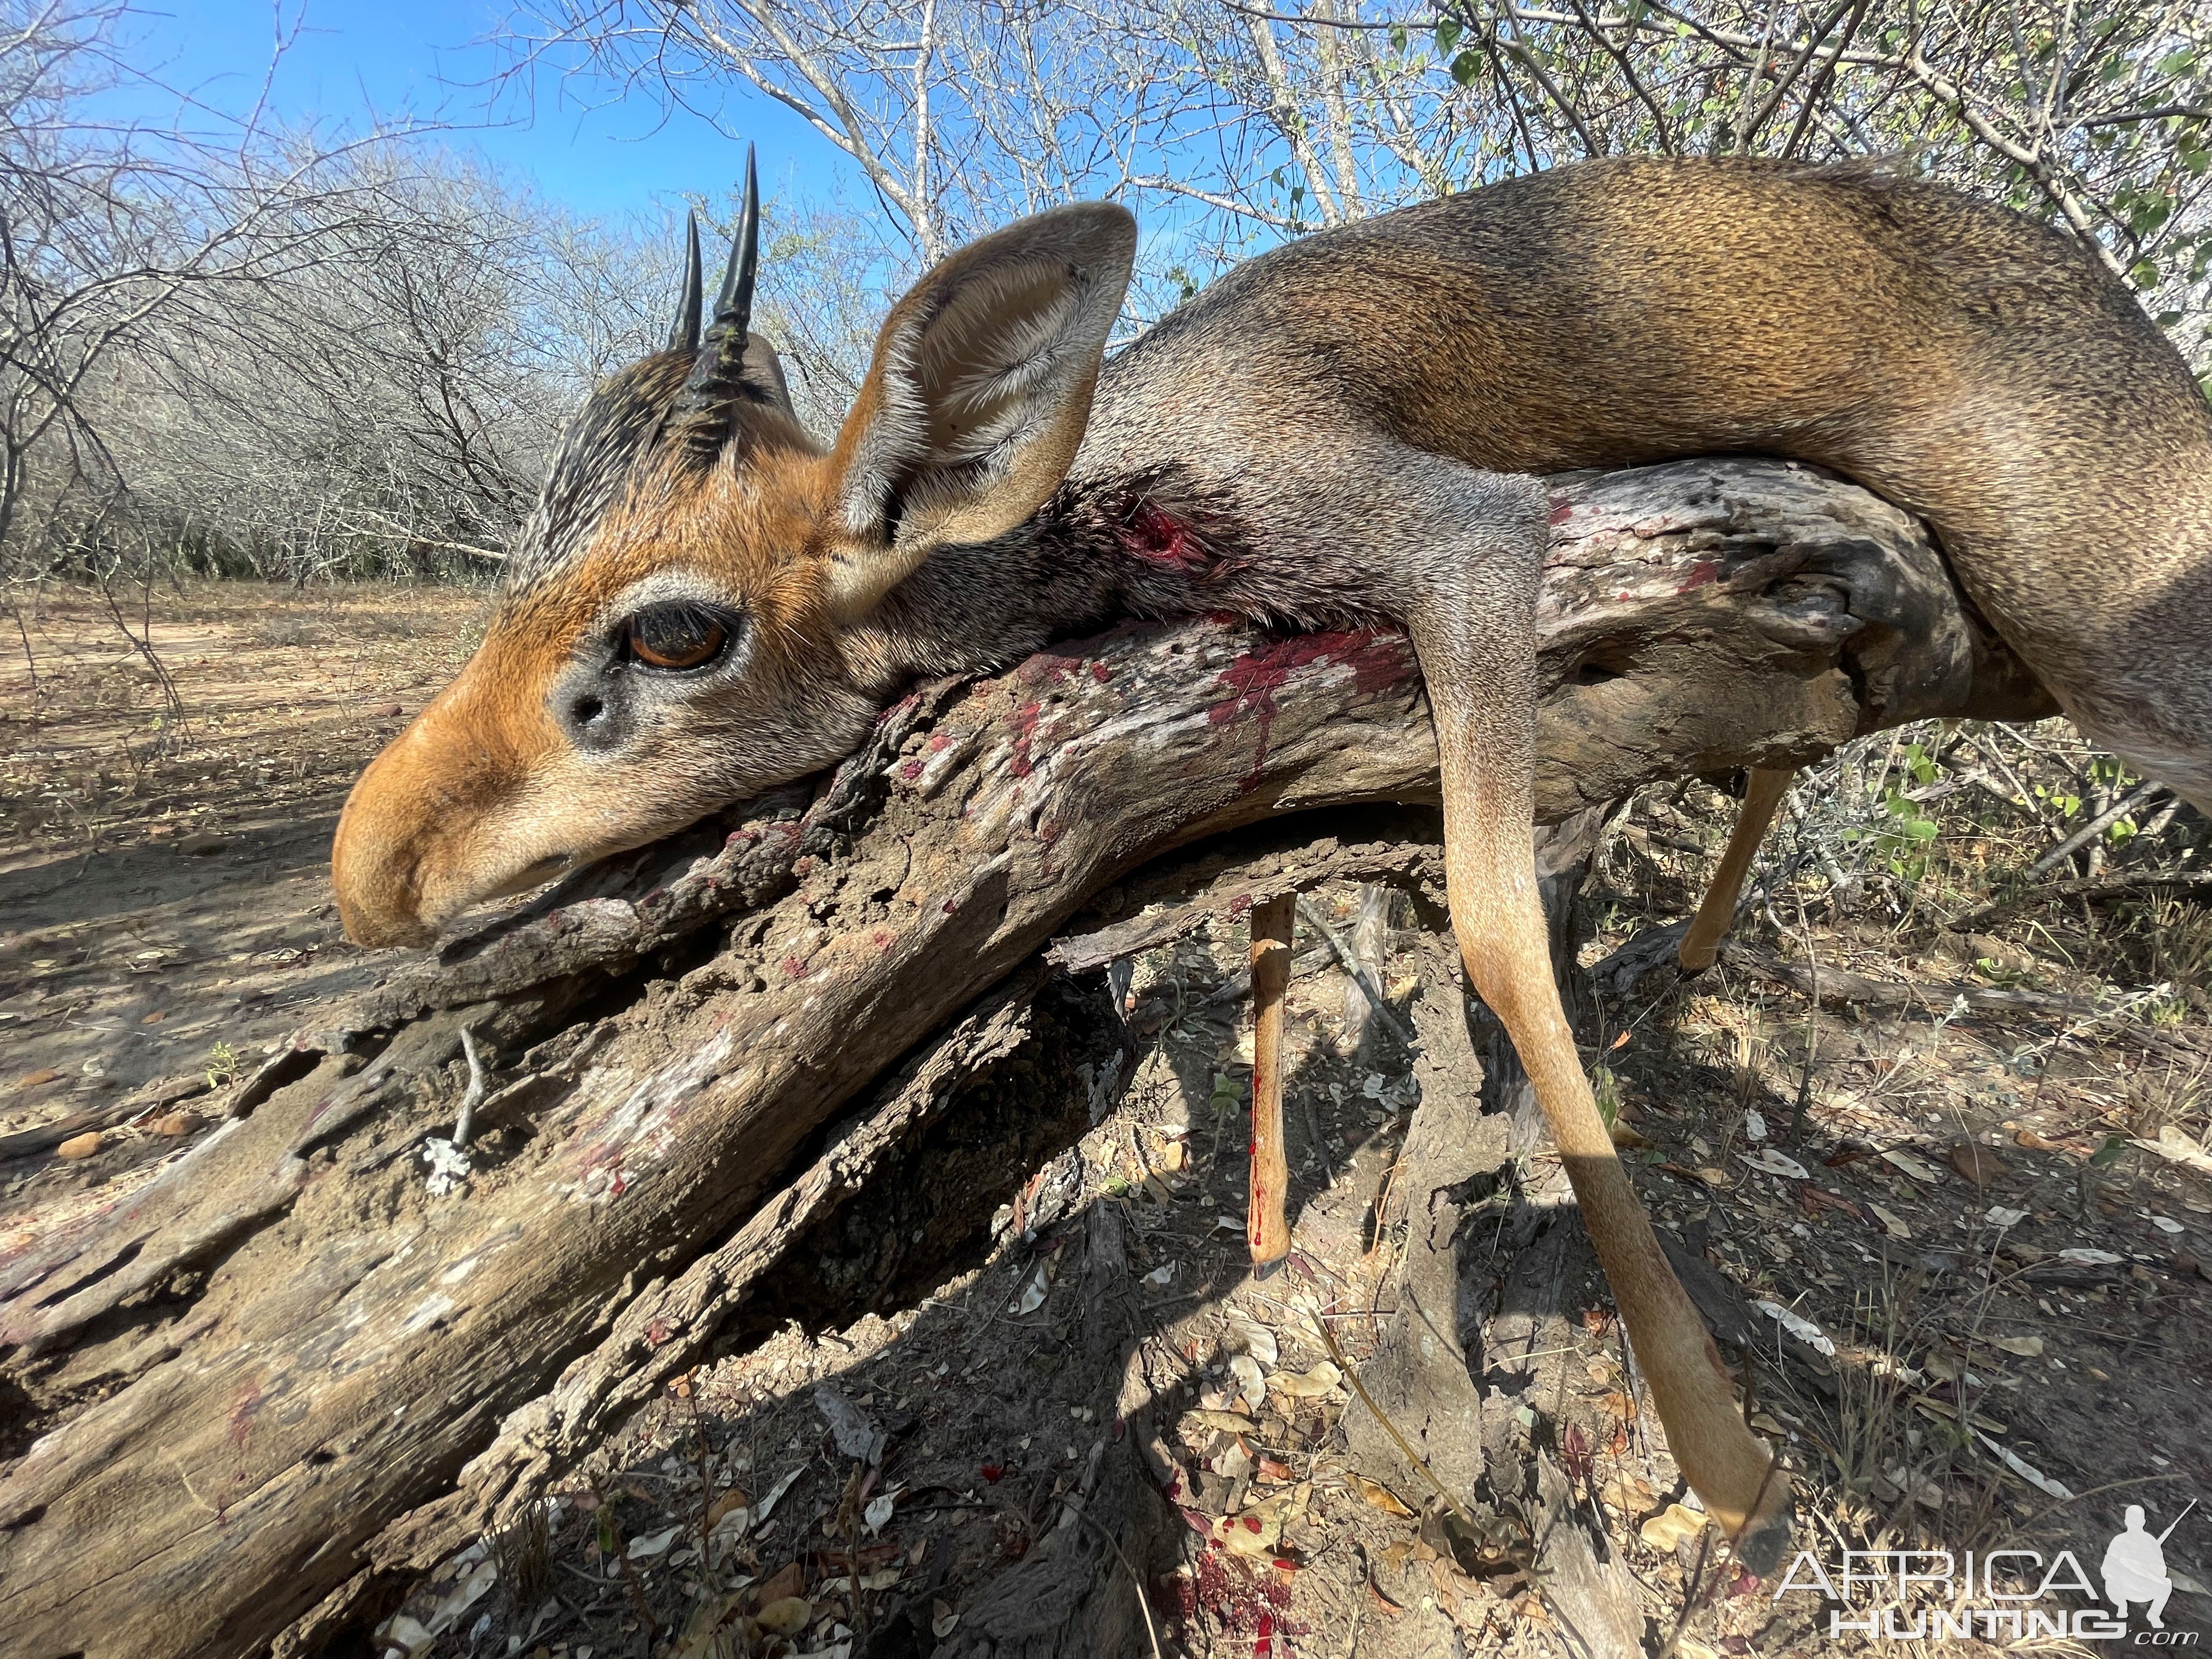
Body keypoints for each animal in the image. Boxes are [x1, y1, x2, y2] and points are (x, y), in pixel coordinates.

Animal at [336, 153, 2212, 1575]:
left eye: (672, 632)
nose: (366, 874)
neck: (1113, 482)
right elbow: (1270, 936)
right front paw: (1257, 1225)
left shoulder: (1464, 543)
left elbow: (1495, 926)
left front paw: (1733, 1472)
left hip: (2125, 656)